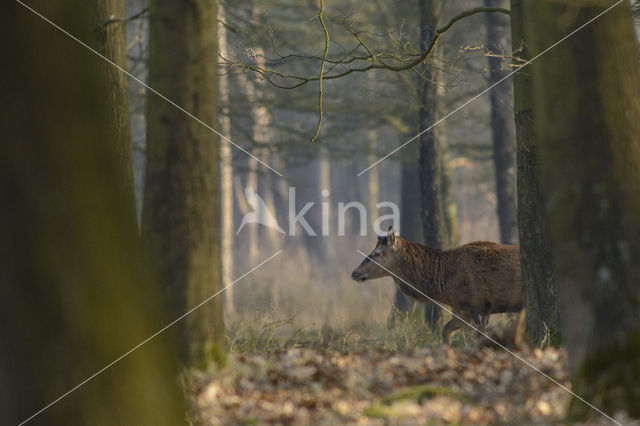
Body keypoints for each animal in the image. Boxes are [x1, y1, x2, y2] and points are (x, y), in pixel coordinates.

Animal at [352, 226, 524, 342]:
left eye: (377, 254)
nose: (354, 272)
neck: (444, 284)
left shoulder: (480, 305)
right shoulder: (465, 310)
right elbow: (445, 330)